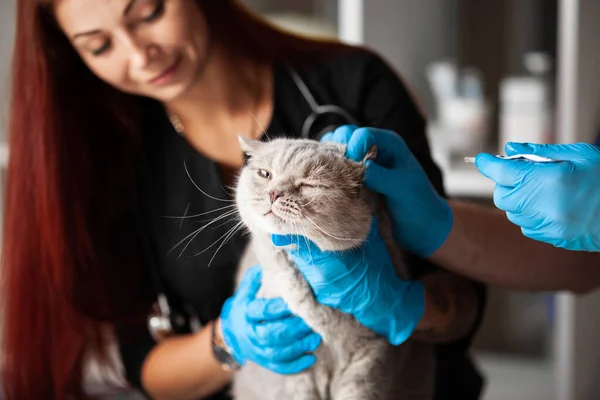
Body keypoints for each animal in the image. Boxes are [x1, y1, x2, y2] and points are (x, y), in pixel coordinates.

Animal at [232, 137, 434, 400]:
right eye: (265, 174)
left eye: (309, 184)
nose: (274, 193)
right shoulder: (296, 366)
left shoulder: (374, 351)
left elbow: (358, 390)